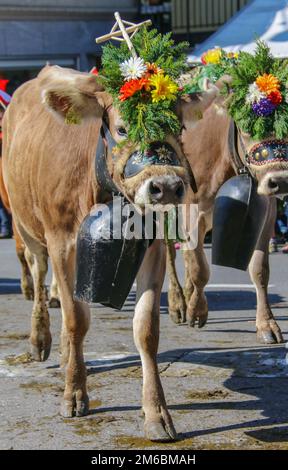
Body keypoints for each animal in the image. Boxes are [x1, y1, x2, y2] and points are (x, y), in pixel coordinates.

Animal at [1, 63, 218, 440]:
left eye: (178, 127)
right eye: (122, 128)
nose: (167, 187)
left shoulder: (151, 247)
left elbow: (146, 329)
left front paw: (156, 413)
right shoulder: (61, 243)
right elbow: (76, 319)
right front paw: (74, 394)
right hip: (26, 226)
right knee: (39, 276)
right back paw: (41, 339)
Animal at [169, 96, 284, 346]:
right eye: (247, 127)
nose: (280, 180)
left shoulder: (267, 212)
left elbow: (260, 269)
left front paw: (267, 324)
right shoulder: (192, 209)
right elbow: (200, 268)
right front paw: (197, 311)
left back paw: (188, 293)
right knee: (169, 251)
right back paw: (178, 303)